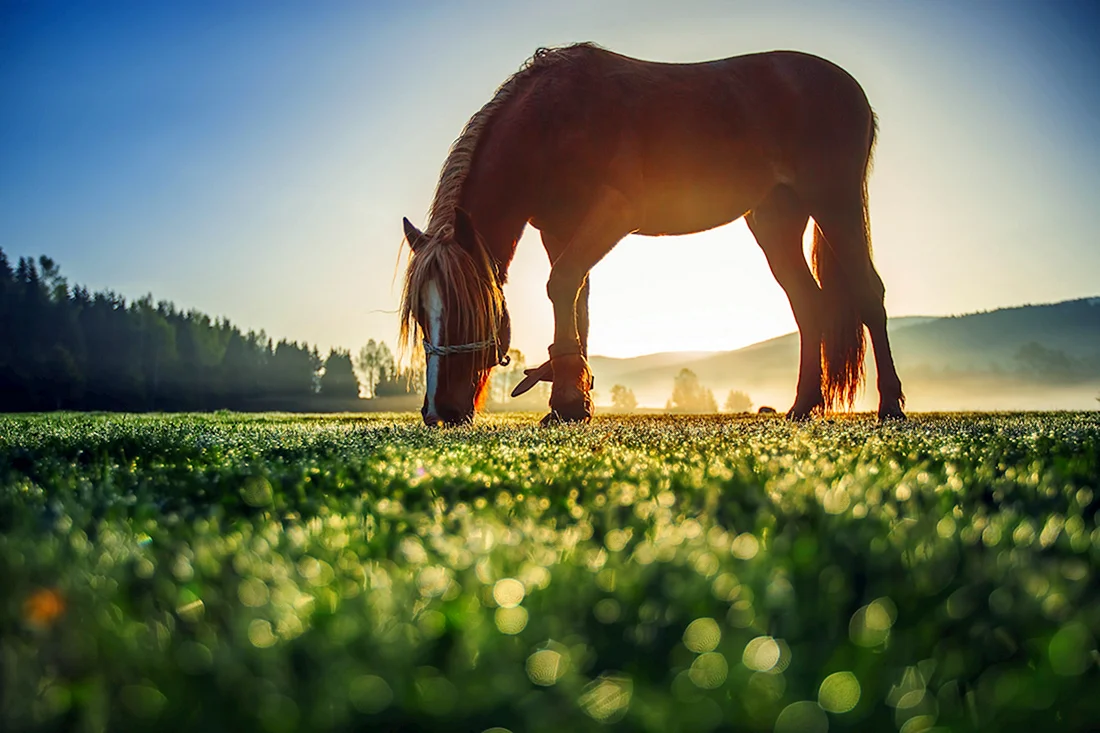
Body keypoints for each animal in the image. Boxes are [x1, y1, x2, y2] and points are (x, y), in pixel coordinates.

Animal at [400, 42, 906, 424]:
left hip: (835, 203)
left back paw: (891, 405)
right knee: (808, 304)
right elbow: (576, 303)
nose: (439, 412)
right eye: (422, 316)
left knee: (868, 293)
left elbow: (562, 286)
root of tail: (849, 88)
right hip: (775, 221)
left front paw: (567, 402)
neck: (551, 121)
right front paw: (572, 401)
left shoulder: (612, 214)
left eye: (466, 312)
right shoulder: (559, 231)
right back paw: (804, 405)